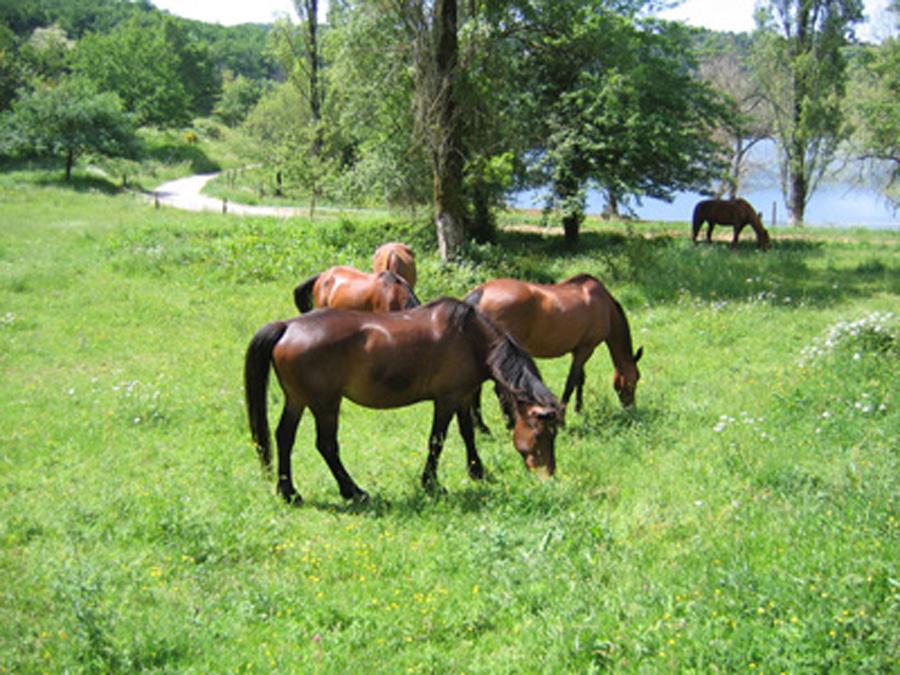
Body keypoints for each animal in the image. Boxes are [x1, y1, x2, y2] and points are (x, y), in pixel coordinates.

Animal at [246, 298, 564, 504]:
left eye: (554, 435)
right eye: (540, 434)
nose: (548, 477)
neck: (471, 338)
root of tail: (287, 326)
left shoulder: (462, 396)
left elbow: (468, 434)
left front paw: (477, 472)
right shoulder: (446, 400)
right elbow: (437, 440)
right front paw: (431, 483)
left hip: (297, 399)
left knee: (284, 437)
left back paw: (289, 492)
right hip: (325, 404)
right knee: (326, 445)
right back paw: (354, 492)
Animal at [464, 274, 648, 428]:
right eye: (636, 379)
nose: (630, 408)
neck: (605, 305)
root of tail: (480, 293)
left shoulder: (578, 350)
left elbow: (580, 379)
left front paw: (579, 409)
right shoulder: (586, 349)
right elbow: (571, 381)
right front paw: (562, 417)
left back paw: (482, 426)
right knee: (498, 389)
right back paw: (508, 422)